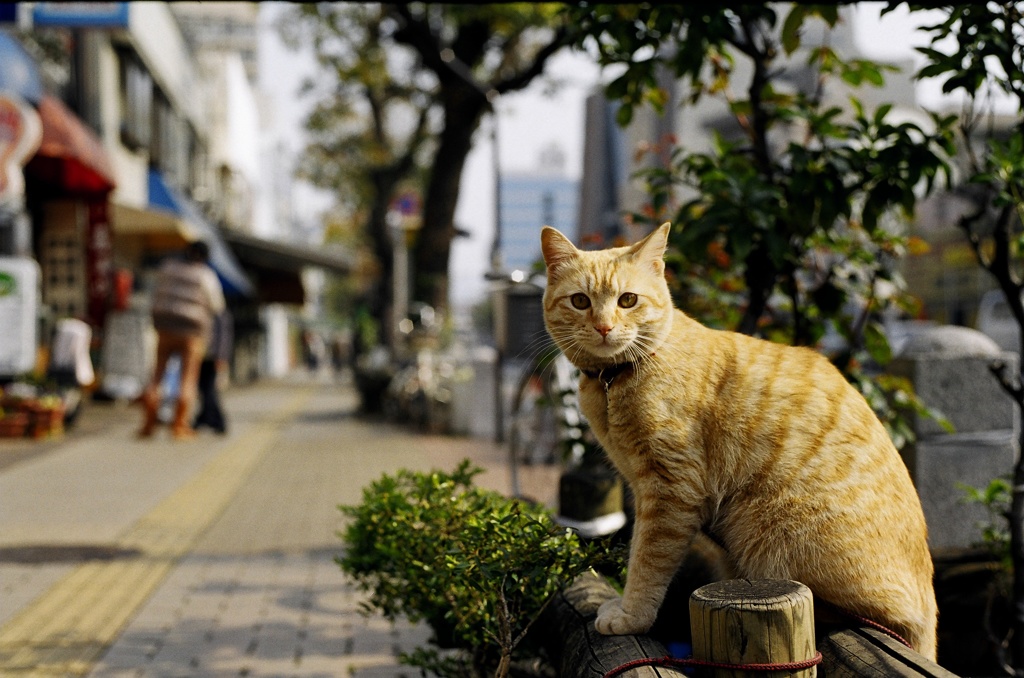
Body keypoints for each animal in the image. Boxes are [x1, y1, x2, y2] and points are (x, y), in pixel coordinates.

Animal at [544, 224, 937, 663]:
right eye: (580, 301)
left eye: (627, 300)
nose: (604, 327)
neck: (615, 380)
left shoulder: (670, 492)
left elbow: (646, 561)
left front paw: (632, 616)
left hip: (767, 532)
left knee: (872, 617)